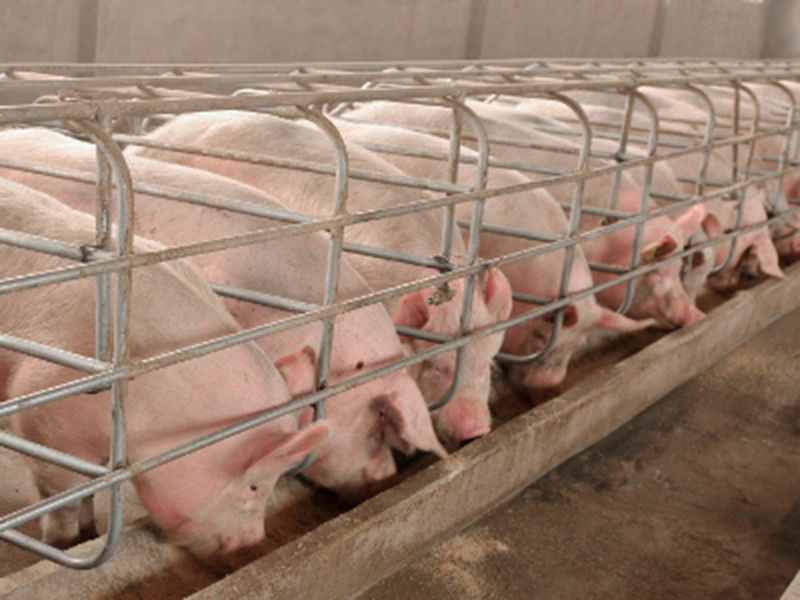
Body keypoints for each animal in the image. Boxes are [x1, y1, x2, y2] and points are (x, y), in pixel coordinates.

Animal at [0, 176, 331, 569]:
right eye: (254, 486)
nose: (251, 548)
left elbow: (90, 494)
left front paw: (91, 534)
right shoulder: (43, 415)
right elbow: (63, 498)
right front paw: (64, 548)